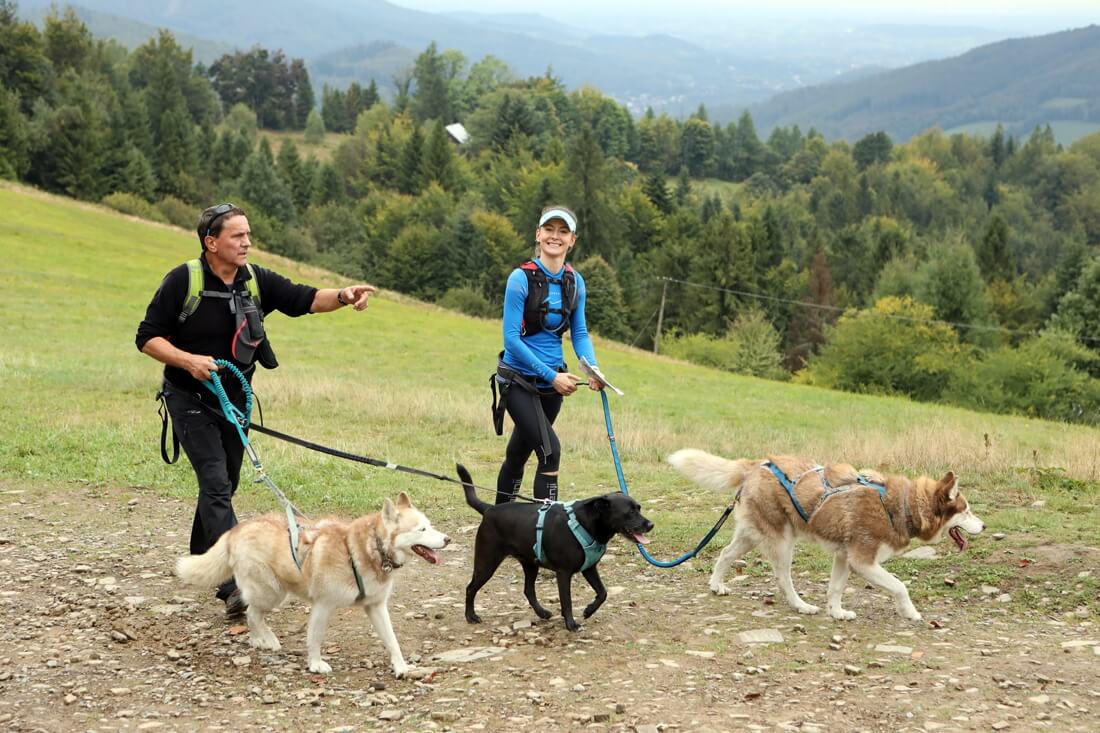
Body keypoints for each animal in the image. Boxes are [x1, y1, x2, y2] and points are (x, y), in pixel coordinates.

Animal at [455, 462, 651, 629]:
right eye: (629, 512)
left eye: (639, 508)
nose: (650, 524)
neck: (587, 522)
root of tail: (488, 509)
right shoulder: (563, 573)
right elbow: (567, 601)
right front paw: (571, 625)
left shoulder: (589, 568)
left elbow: (603, 593)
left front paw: (588, 610)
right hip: (487, 562)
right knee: (470, 588)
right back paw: (470, 616)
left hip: (530, 564)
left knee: (528, 590)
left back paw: (542, 613)